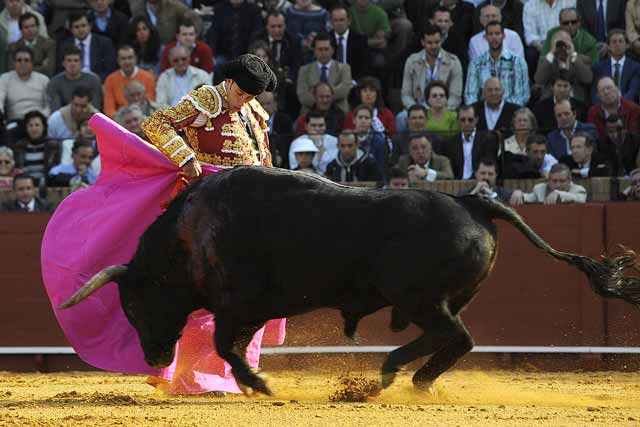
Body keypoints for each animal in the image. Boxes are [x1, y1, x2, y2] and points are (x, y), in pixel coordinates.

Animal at [57, 166, 636, 396]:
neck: (189, 233)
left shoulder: (236, 304)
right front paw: (254, 380)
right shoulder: (249, 309)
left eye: (135, 304)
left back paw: (396, 372)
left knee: (456, 337)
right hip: (442, 300)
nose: (153, 357)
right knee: (452, 338)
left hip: (421, 299)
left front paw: (259, 384)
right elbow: (231, 345)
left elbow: (224, 344)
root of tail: (475, 201)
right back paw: (406, 376)